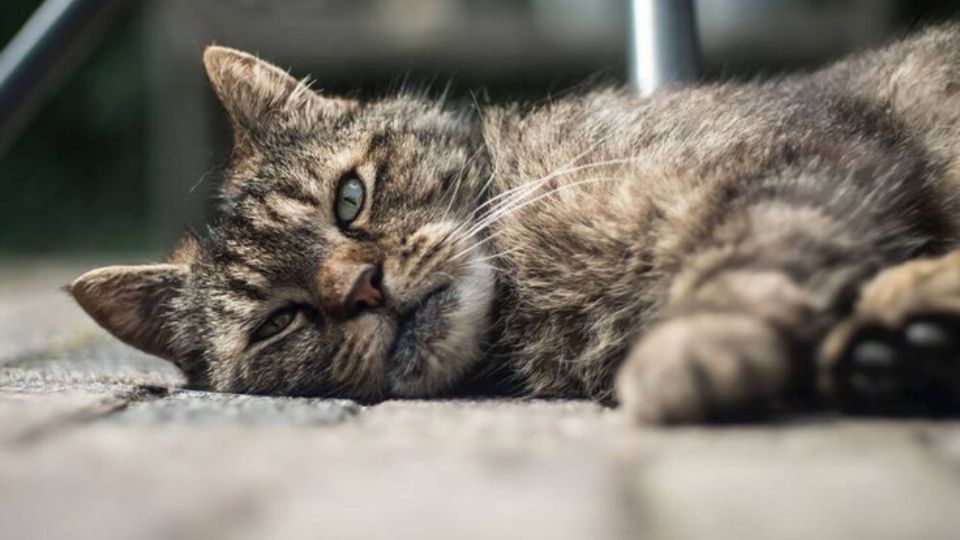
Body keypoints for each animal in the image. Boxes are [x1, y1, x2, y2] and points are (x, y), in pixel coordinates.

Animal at [71, 25, 960, 424]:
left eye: (349, 199)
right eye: (278, 323)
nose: (362, 288)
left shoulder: (798, 156)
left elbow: (744, 257)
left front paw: (694, 349)